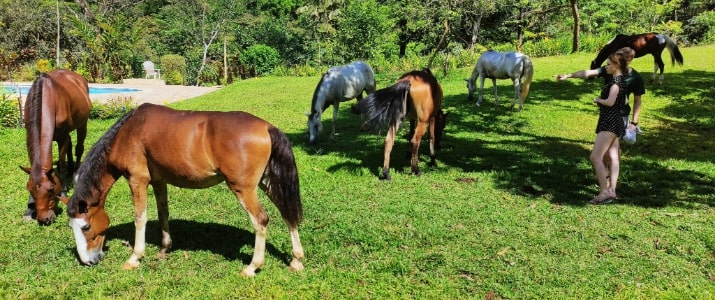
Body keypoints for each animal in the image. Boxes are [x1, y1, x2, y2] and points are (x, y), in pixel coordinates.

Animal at [21, 70, 91, 225]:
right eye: (29, 189)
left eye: (51, 189)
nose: (45, 219)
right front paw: (29, 208)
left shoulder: (62, 138)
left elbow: (62, 166)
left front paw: (64, 190)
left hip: (83, 124)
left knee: (78, 147)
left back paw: (75, 171)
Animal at [64, 103, 304, 276]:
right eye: (71, 227)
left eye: (85, 227)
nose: (88, 260)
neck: (127, 132)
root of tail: (266, 127)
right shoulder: (159, 181)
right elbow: (163, 213)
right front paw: (164, 249)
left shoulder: (137, 180)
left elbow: (140, 218)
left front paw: (134, 258)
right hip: (267, 182)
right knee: (287, 213)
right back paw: (296, 260)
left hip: (243, 189)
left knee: (261, 220)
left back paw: (252, 267)